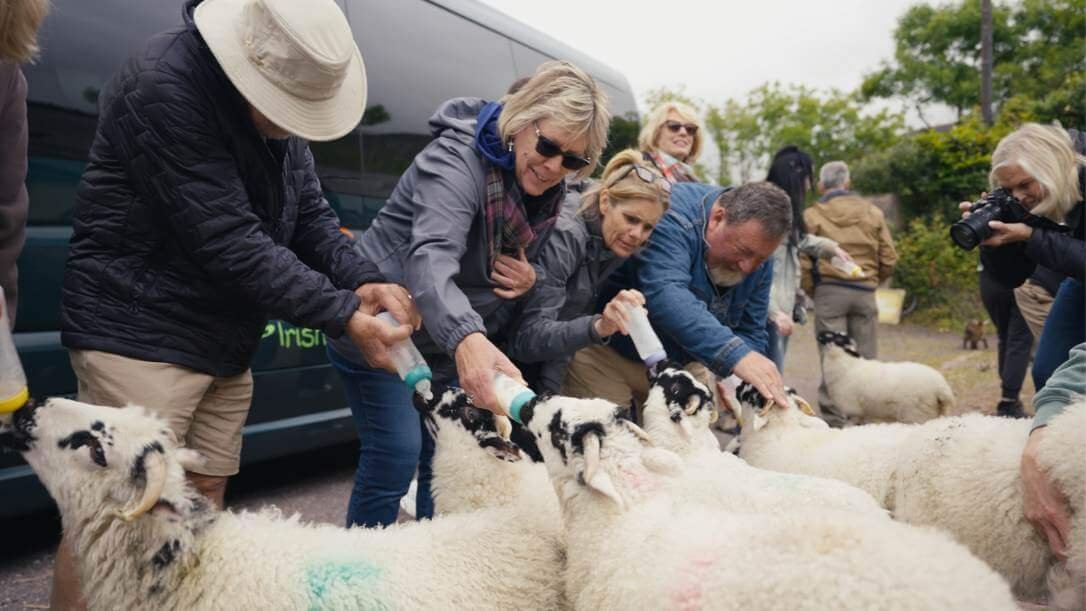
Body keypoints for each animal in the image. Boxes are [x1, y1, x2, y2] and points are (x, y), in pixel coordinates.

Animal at [816, 329, 955, 425]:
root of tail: (941, 387)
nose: (820, 333)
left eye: (838, 338)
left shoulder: (853, 411)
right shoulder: (863, 414)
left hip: (917, 414)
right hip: (937, 412)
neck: (848, 365)